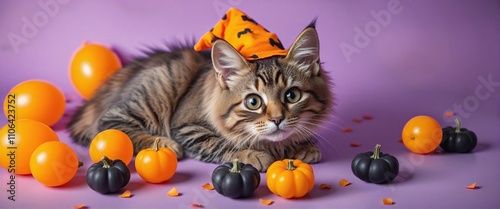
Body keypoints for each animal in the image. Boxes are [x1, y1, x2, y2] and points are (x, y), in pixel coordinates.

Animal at [66, 20, 332, 171]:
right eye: (253, 102)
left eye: (292, 96)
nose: (277, 119)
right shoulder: (187, 127)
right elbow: (221, 143)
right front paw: (253, 154)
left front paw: (303, 145)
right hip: (161, 88)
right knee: (109, 125)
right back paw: (164, 144)